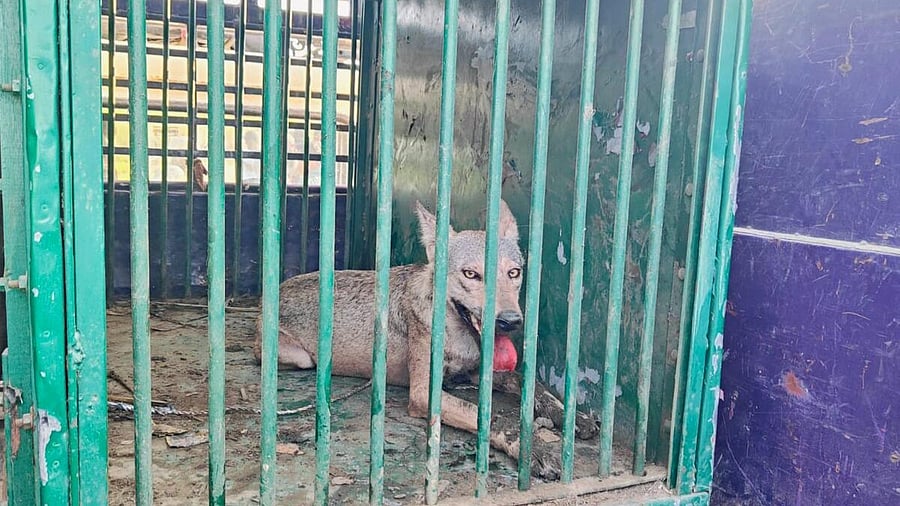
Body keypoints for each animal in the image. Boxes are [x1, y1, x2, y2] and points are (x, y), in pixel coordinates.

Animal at [254, 199, 598, 478]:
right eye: (471, 274)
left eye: (514, 273)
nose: (510, 321)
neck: (456, 334)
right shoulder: (424, 393)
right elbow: (495, 417)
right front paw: (534, 450)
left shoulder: (475, 371)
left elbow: (530, 384)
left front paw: (573, 417)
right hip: (303, 360)